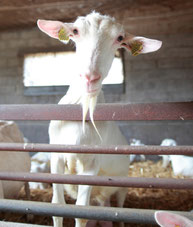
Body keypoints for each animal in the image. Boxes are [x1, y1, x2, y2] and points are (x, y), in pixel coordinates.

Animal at [37, 11, 161, 226]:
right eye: (75, 31)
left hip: (122, 186)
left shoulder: (91, 164)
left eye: (119, 38)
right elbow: (57, 206)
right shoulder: (56, 156)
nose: (90, 78)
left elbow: (81, 212)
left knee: (119, 207)